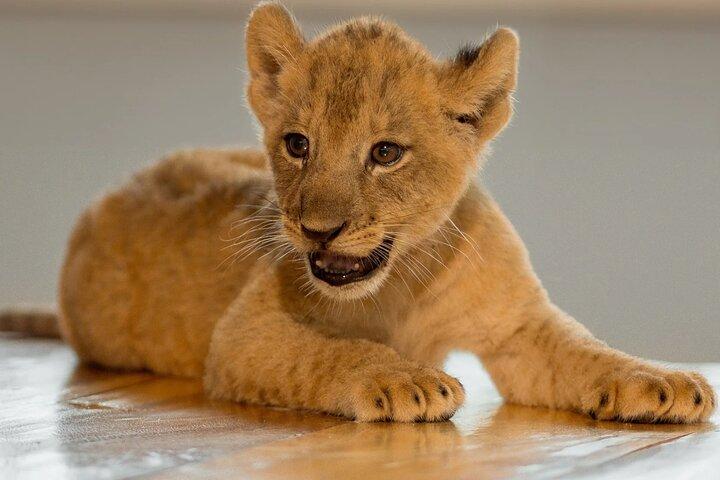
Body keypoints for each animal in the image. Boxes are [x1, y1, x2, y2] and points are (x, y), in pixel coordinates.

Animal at [1, 3, 714, 423]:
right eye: (298, 145)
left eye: (386, 153)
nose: (318, 230)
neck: (402, 284)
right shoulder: (245, 334)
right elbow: (336, 351)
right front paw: (408, 382)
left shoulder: (517, 325)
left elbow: (587, 348)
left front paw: (667, 383)